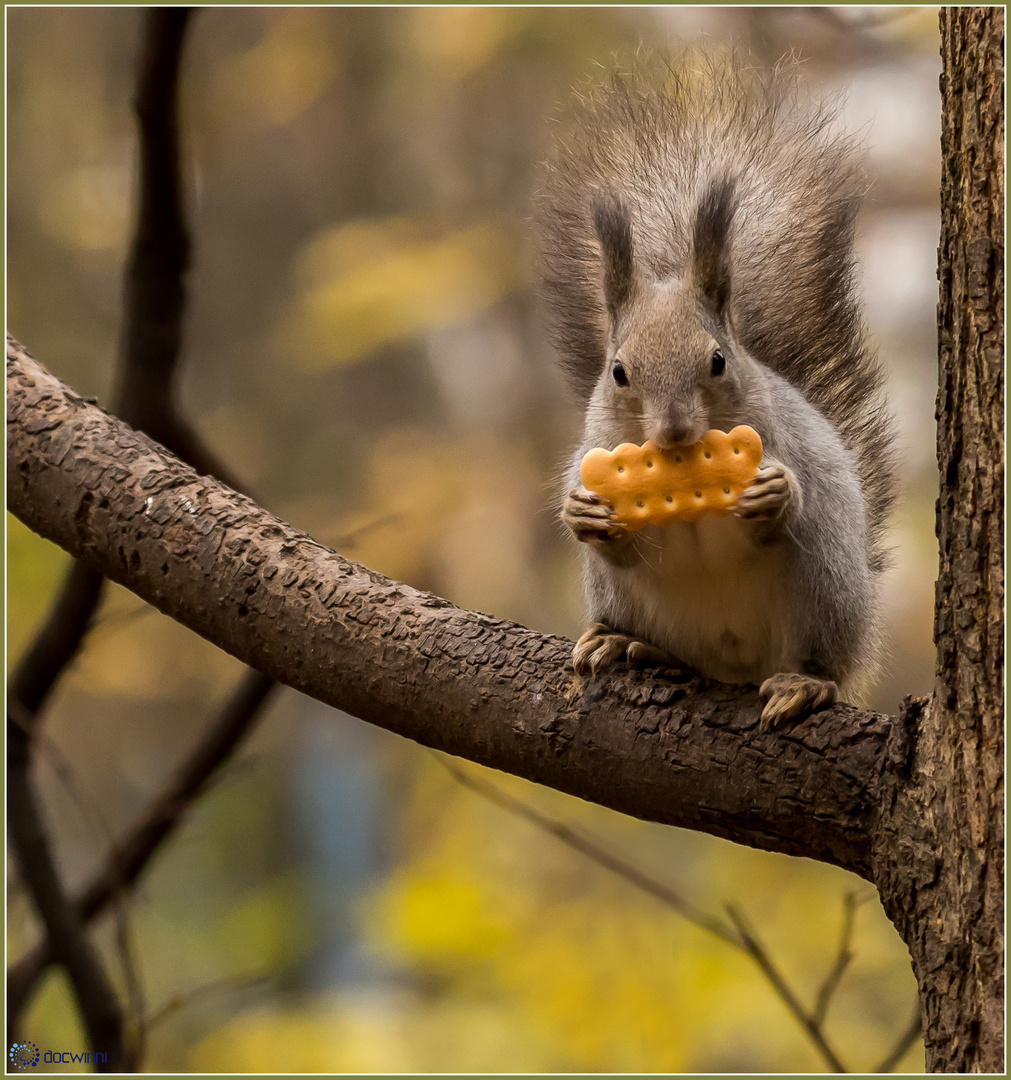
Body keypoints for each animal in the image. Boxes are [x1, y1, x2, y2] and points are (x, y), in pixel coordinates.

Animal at [537, 50, 898, 725]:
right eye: (618, 371)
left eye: (718, 361)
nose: (675, 433)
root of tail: (737, 666)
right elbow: (618, 541)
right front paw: (584, 513)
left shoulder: (780, 441)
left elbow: (777, 510)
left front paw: (775, 496)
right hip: (624, 598)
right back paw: (626, 644)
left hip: (826, 591)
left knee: (825, 663)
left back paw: (804, 683)